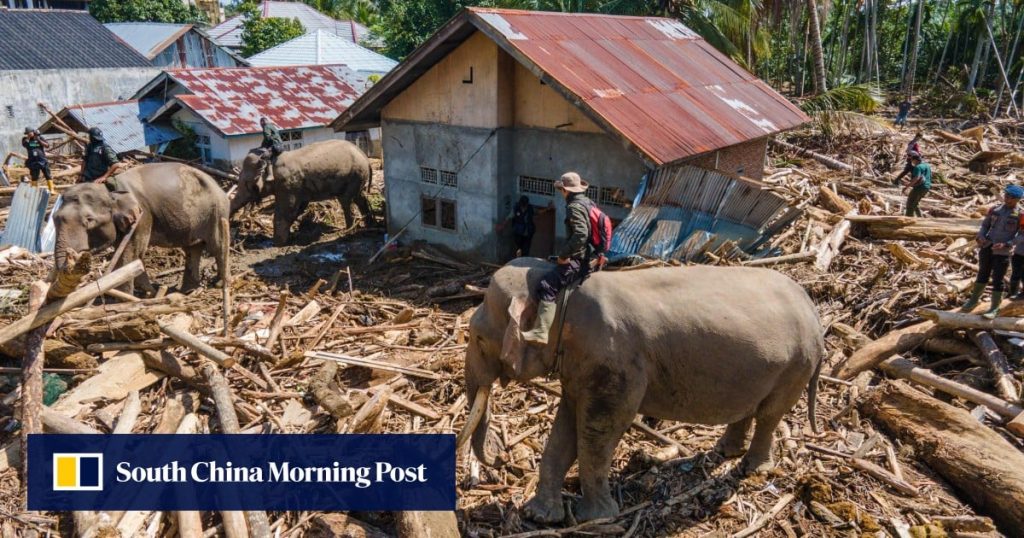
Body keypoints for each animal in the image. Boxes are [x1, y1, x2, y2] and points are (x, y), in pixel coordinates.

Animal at [53, 162, 229, 296]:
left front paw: (127, 298)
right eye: (54, 218)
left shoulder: (142, 217)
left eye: (89, 220)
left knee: (217, 246)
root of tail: (219, 185)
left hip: (217, 212)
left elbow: (132, 254)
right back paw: (187, 291)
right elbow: (129, 255)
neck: (110, 191)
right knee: (192, 249)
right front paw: (148, 293)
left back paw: (219, 284)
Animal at [229, 139, 374, 245]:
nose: (233, 223)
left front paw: (278, 243)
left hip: (354, 175)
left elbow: (287, 209)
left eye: (248, 183)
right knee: (359, 199)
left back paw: (348, 233)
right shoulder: (296, 187)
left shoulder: (287, 184)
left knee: (346, 201)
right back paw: (369, 225)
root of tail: (365, 158)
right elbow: (299, 207)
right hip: (358, 178)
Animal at [459, 258, 823, 524]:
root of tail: (812, 308)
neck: (564, 293)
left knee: (770, 414)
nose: (502, 458)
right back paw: (725, 451)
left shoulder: (615, 364)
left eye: (478, 338)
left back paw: (752, 468)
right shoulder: (579, 366)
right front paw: (541, 517)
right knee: (750, 407)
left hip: (795, 366)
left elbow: (599, 429)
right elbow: (565, 427)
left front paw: (598, 519)